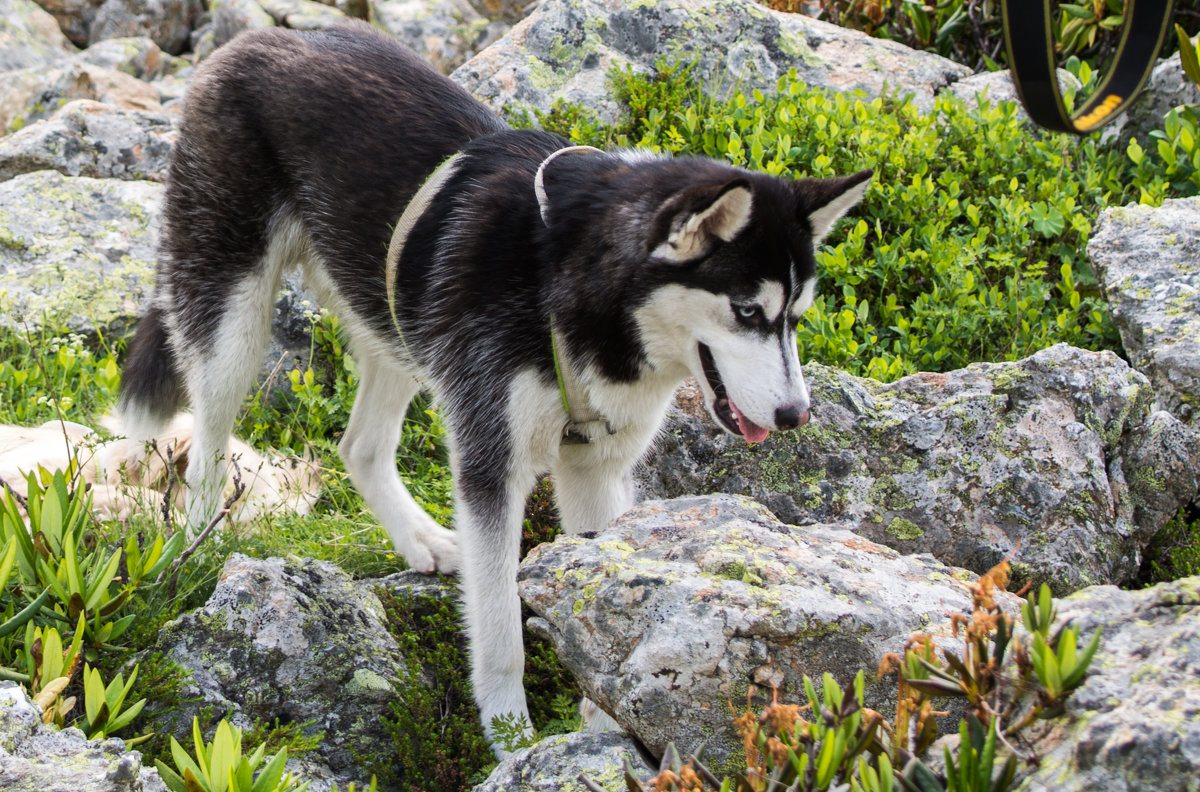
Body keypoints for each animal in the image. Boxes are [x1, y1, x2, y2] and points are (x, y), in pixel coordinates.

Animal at [117, 21, 873, 744]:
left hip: (396, 328)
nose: (796, 415)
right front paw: (511, 738)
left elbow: (598, 585)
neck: (564, 281)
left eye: (796, 317)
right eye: (747, 311)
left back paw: (418, 539)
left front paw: (606, 725)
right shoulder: (492, 469)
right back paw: (201, 550)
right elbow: (502, 631)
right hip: (234, 322)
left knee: (360, 447)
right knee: (208, 447)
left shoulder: (596, 468)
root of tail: (261, 39)